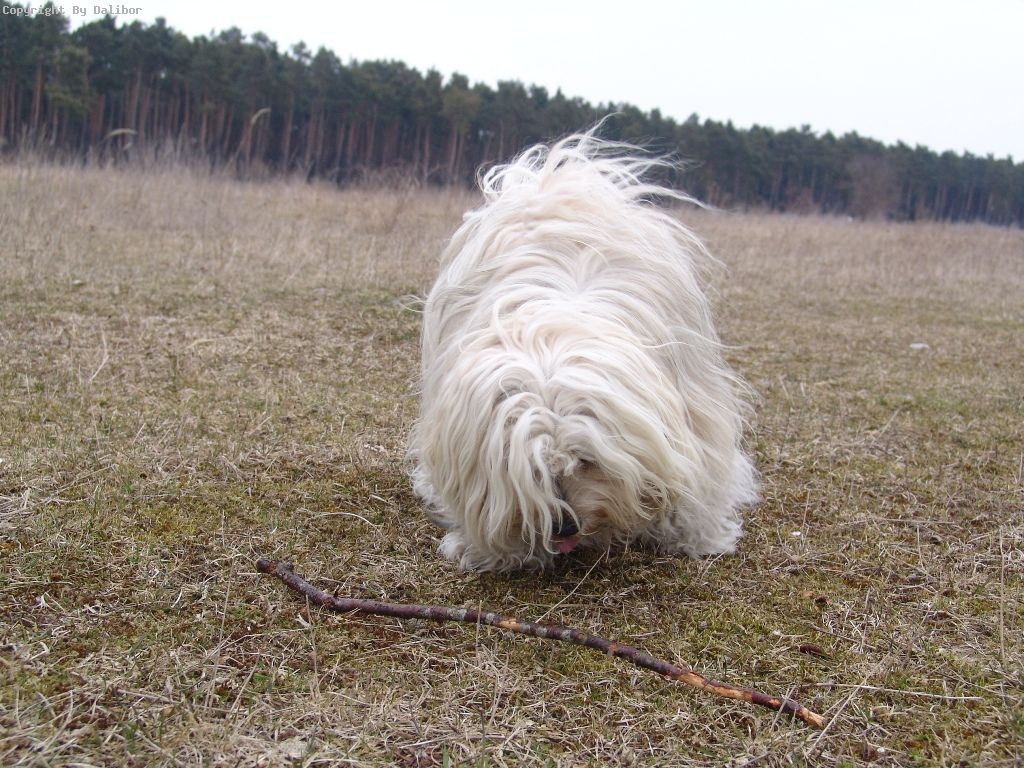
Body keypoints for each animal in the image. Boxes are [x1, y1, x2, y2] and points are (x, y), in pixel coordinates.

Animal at [408, 130, 758, 571]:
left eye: (587, 461)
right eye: (530, 471)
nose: (565, 526)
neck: (556, 333)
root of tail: (555, 180)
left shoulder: (696, 408)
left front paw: (696, 532)